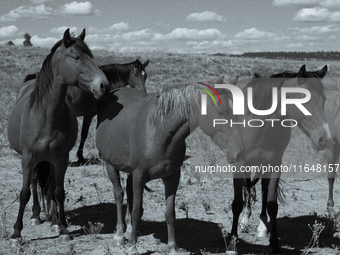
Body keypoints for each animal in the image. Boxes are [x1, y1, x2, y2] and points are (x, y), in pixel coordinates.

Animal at [6, 28, 109, 245]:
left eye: (91, 56)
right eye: (76, 57)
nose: (104, 85)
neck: (45, 114)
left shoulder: (61, 158)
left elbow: (58, 191)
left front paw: (62, 228)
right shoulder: (27, 158)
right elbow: (25, 193)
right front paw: (16, 233)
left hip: (51, 161)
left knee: (50, 185)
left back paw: (52, 219)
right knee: (35, 183)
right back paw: (36, 215)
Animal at [94, 78, 246, 255]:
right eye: (221, 111)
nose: (239, 152)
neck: (158, 130)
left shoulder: (172, 177)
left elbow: (169, 213)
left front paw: (172, 246)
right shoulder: (140, 175)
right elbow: (137, 210)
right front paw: (133, 246)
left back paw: (130, 229)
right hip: (110, 164)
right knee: (119, 194)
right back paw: (120, 235)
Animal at [226, 65, 332, 253]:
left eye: (323, 99)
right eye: (303, 101)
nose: (324, 139)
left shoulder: (275, 163)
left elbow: (272, 204)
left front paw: (275, 244)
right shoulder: (239, 163)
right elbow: (237, 202)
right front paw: (232, 243)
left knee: (262, 188)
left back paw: (262, 227)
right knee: (247, 188)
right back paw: (245, 220)